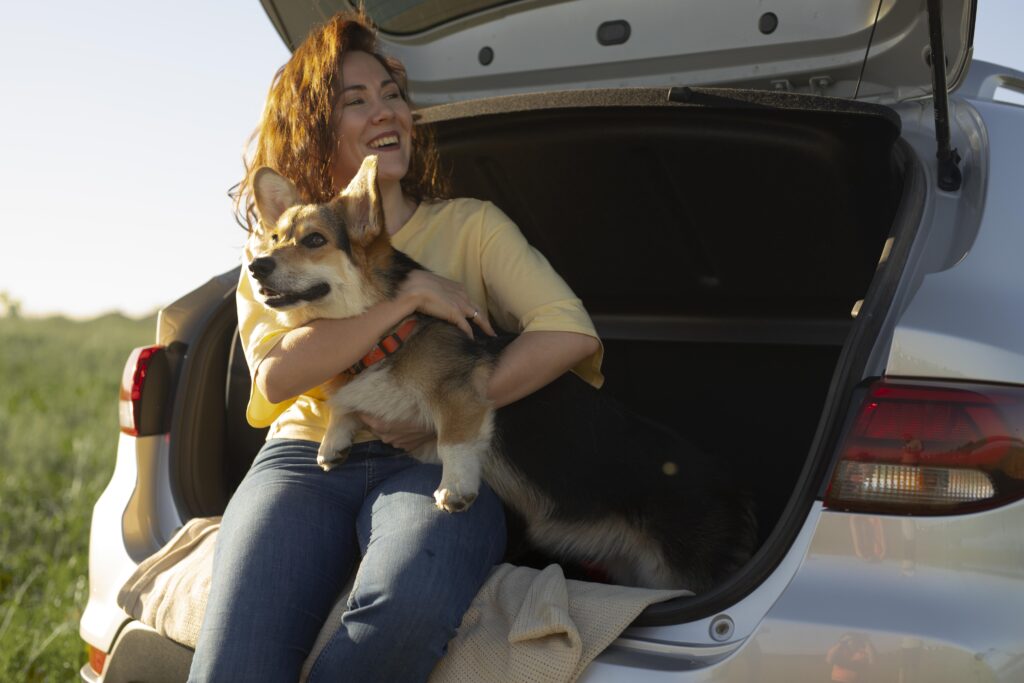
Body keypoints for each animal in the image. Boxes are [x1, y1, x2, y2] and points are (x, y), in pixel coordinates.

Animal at [243, 157, 757, 589]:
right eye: (275, 239)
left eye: (314, 240)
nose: (255, 266)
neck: (385, 332)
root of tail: (735, 488)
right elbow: (345, 407)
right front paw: (333, 442)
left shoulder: (458, 396)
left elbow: (453, 441)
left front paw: (454, 491)